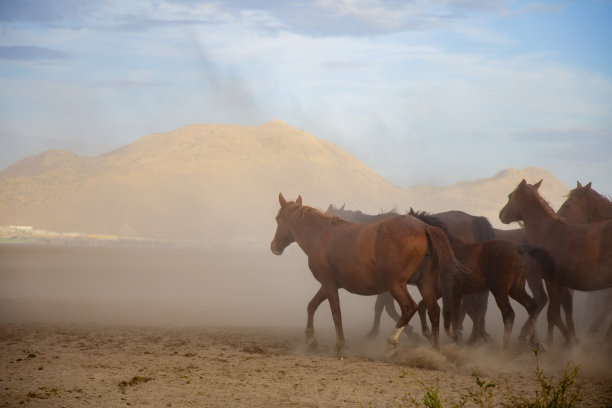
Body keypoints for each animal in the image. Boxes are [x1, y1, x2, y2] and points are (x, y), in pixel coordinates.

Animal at [270, 194, 466, 354]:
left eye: (278, 218)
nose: (274, 246)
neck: (321, 236)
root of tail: (424, 227)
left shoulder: (329, 283)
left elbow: (335, 313)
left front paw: (338, 345)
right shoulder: (329, 284)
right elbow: (312, 305)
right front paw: (311, 339)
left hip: (395, 284)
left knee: (409, 307)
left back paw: (392, 342)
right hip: (423, 283)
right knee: (433, 310)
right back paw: (434, 351)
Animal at [328, 204, 494, 344]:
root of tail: (476, 220)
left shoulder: (390, 283)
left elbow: (387, 307)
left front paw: (408, 333)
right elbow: (382, 307)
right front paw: (375, 332)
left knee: (471, 304)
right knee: (477, 305)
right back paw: (476, 335)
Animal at [408, 210, 552, 348]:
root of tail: (519, 249)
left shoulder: (445, 290)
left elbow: (451, 313)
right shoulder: (453, 291)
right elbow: (447, 313)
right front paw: (453, 339)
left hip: (500, 291)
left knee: (508, 314)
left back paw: (503, 347)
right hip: (515, 289)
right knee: (531, 306)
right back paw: (533, 341)